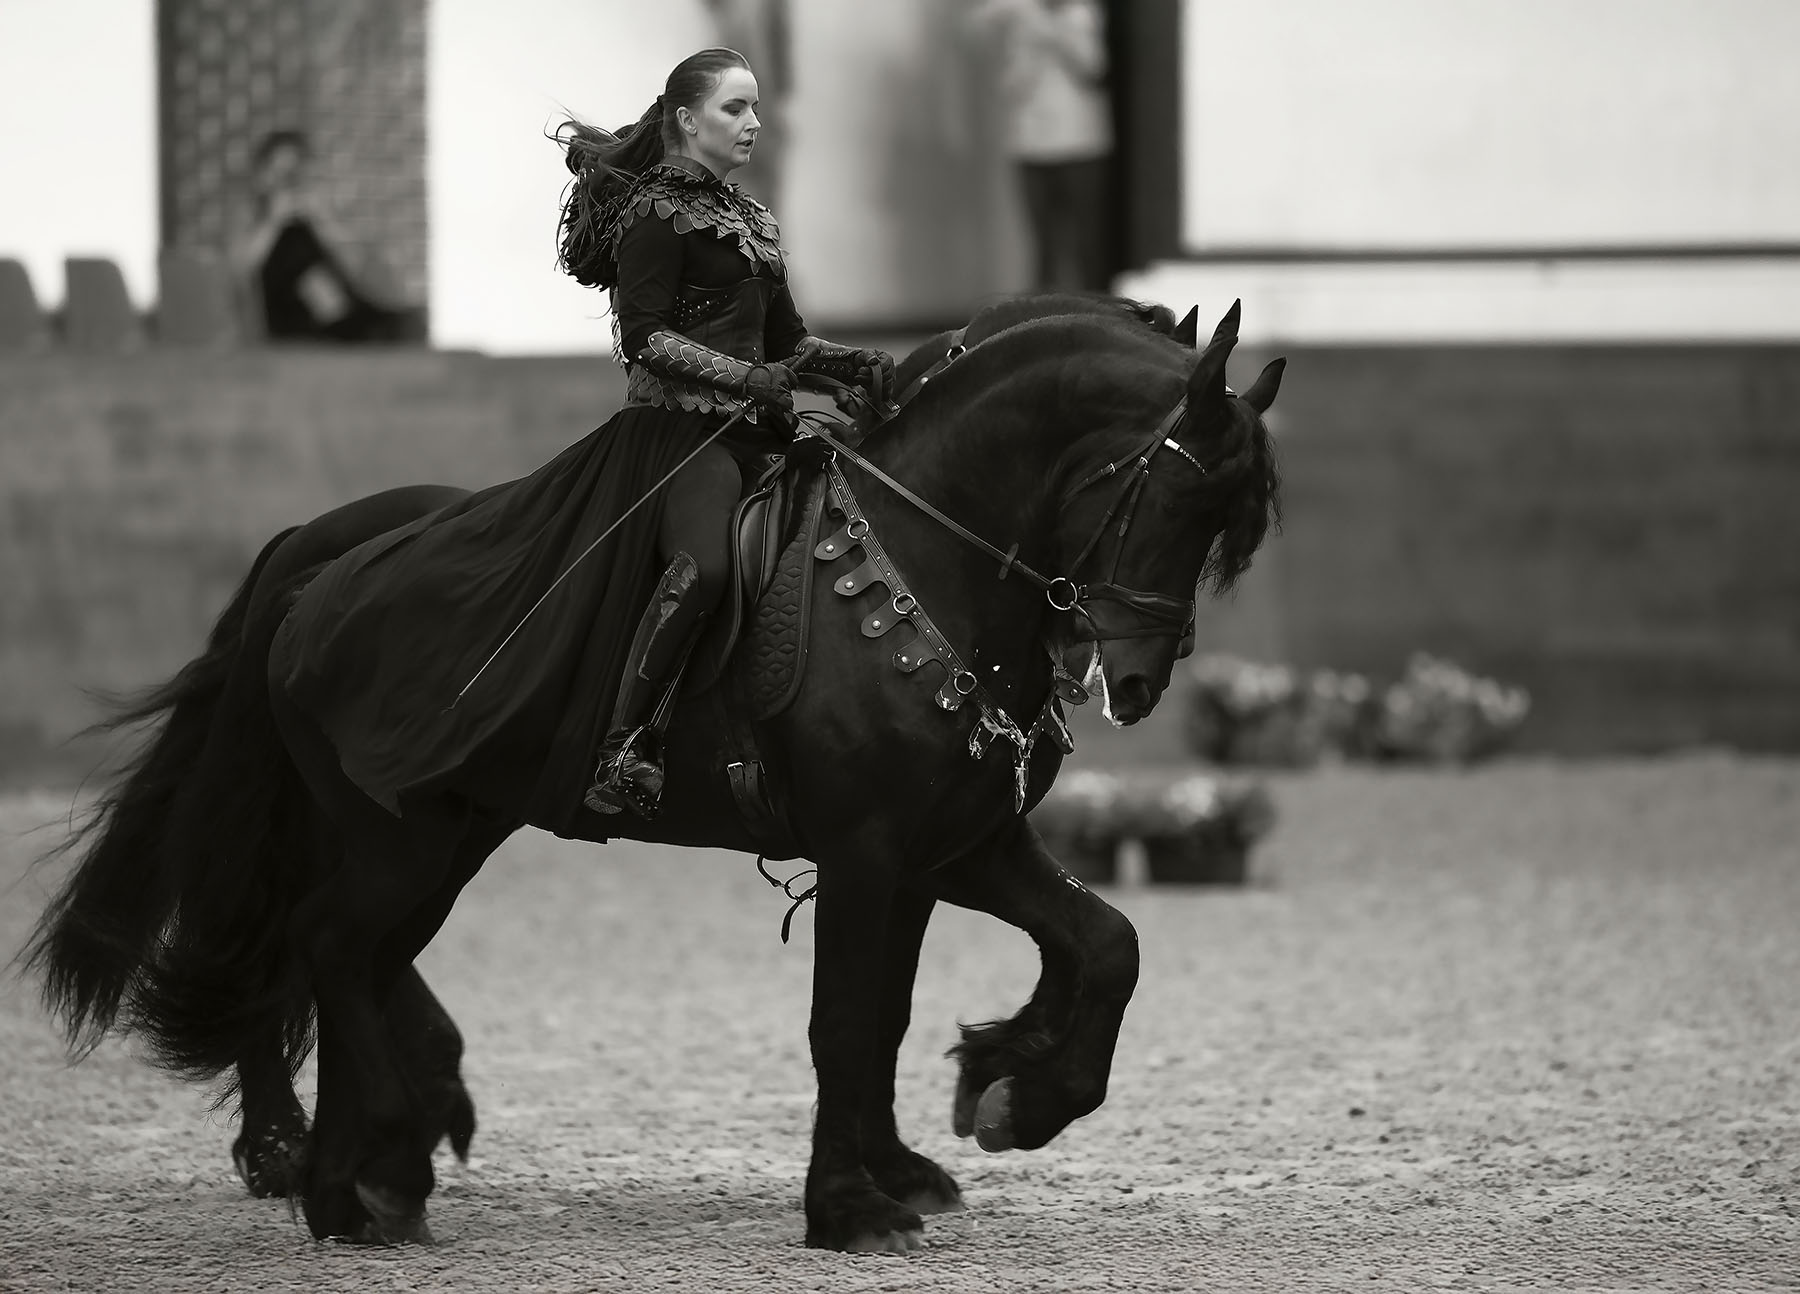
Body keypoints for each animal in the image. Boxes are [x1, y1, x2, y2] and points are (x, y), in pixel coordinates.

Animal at [25, 297, 1283, 1255]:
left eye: (1231, 522)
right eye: (1172, 495)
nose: (1135, 680)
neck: (924, 559)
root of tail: (323, 567)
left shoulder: (951, 845)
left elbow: (1086, 949)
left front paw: (1004, 1097)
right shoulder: (868, 850)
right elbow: (845, 1020)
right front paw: (850, 1208)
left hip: (446, 830)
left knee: (339, 954)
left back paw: (380, 1154)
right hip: (404, 837)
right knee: (327, 944)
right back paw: (350, 1185)